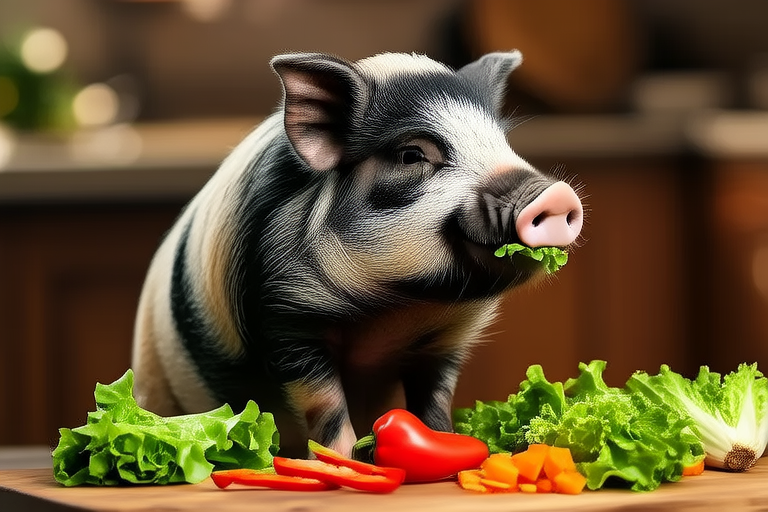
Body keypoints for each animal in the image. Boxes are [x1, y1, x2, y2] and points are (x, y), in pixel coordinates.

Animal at [131, 50, 584, 458]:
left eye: (503, 143)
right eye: (411, 155)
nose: (555, 193)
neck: (394, 308)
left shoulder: (444, 342)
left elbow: (434, 399)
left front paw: (450, 446)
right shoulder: (285, 315)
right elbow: (324, 402)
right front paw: (343, 461)